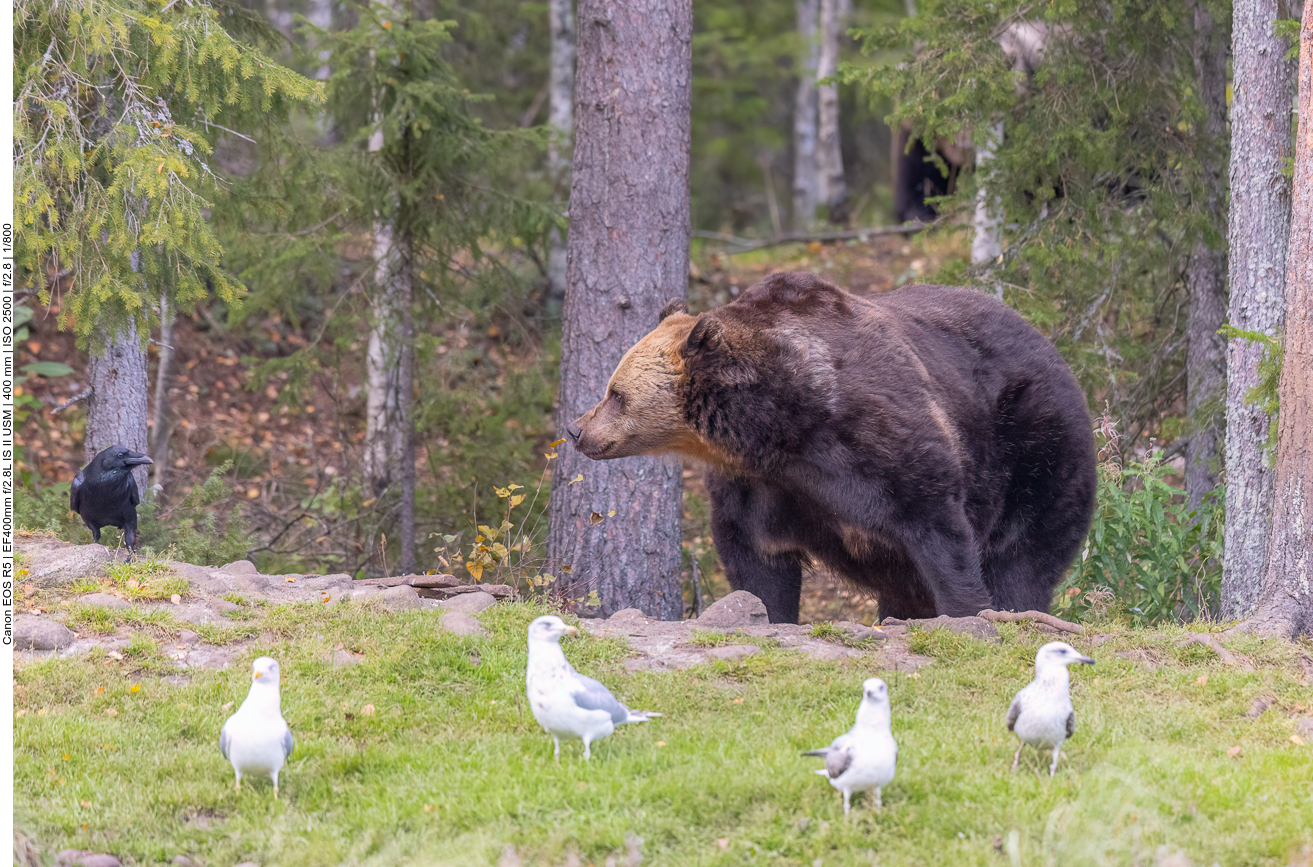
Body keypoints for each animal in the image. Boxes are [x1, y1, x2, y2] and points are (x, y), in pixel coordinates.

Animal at [566, 271, 1097, 624]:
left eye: (615, 393)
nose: (575, 429)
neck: (784, 428)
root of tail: (1052, 348)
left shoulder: (882, 441)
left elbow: (938, 528)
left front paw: (967, 610)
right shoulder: (760, 484)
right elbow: (756, 561)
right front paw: (767, 612)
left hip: (1036, 444)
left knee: (1022, 552)